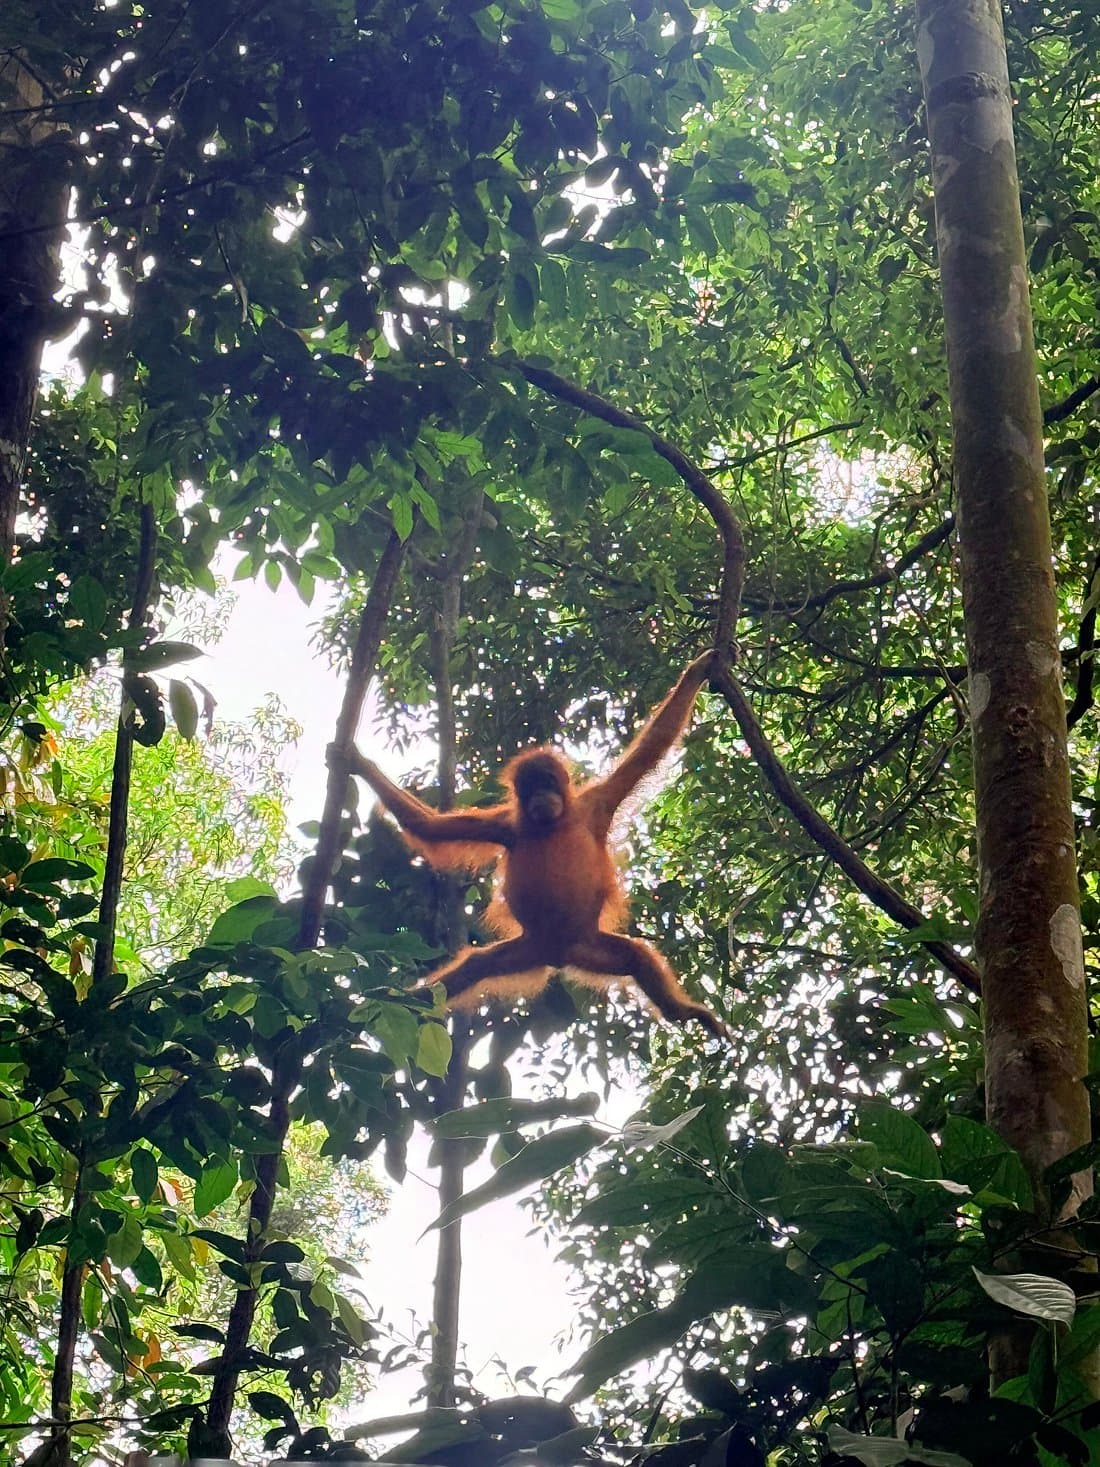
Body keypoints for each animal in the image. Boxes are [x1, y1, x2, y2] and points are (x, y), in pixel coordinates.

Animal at [331, 653, 727, 1039]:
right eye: (530, 786)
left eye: (548, 782)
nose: (540, 797)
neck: (551, 824)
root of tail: (558, 955)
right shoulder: (504, 825)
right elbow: (430, 827)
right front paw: (357, 762)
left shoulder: (597, 803)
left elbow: (652, 746)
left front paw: (697, 671)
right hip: (529, 949)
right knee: (476, 966)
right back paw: (406, 1001)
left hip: (591, 945)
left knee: (637, 957)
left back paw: (681, 1011)